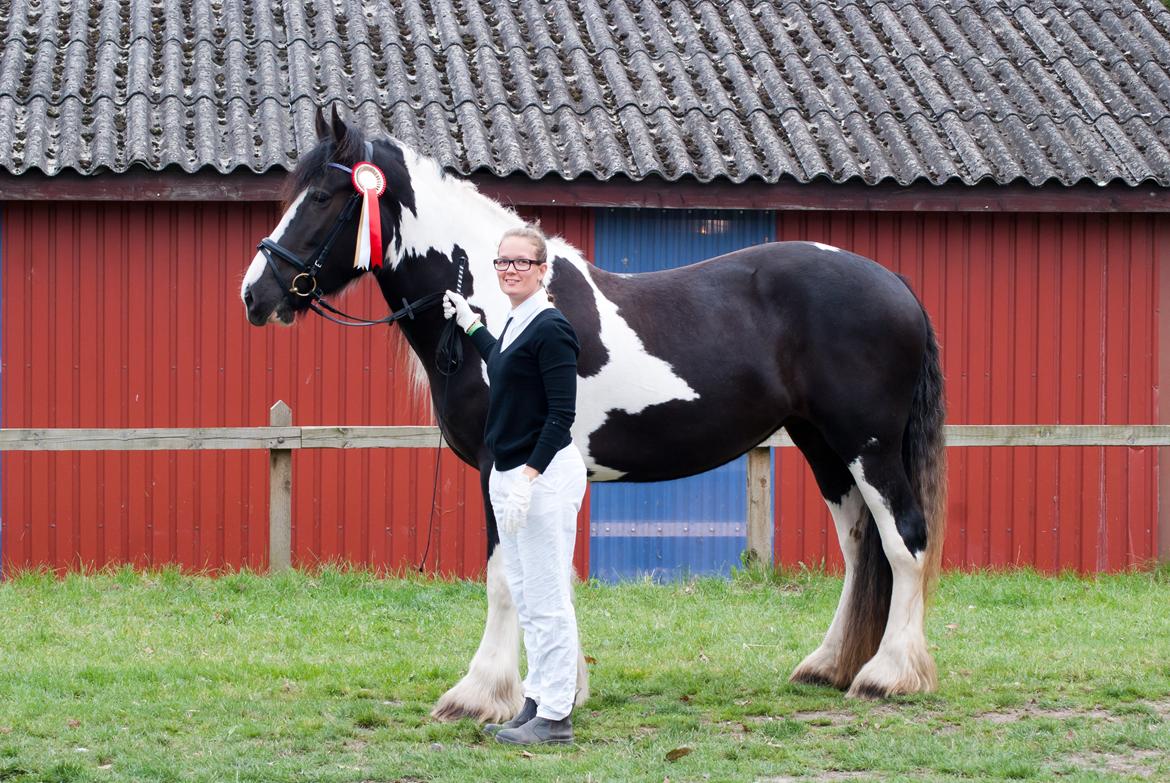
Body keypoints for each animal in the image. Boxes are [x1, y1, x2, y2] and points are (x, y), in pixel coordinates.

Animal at [242, 107, 945, 716]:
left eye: (323, 198)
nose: (256, 294)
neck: (500, 308)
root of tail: (897, 285)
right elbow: (547, 575)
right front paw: (560, 687)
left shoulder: (504, 463)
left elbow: (507, 578)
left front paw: (481, 694)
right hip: (822, 444)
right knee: (860, 547)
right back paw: (829, 666)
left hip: (868, 445)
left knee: (905, 541)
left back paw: (887, 677)